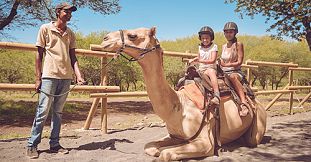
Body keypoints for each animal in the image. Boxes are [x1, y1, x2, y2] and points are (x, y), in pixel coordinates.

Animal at [100, 27, 268, 161]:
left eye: (133, 35)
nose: (105, 39)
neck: (178, 107)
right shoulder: (175, 136)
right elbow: (150, 146)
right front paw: (158, 149)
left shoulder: (206, 143)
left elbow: (165, 154)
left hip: (258, 121)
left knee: (252, 139)